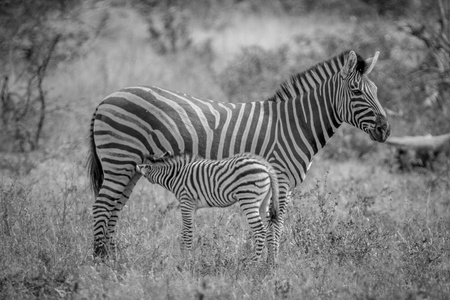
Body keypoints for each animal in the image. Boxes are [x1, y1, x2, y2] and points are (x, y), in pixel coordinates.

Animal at [135, 154, 280, 264]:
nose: (136, 168)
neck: (176, 175)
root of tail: (266, 167)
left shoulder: (186, 202)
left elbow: (188, 232)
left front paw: (186, 260)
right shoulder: (192, 206)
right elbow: (184, 231)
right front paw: (182, 256)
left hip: (248, 198)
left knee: (260, 231)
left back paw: (253, 263)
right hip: (264, 202)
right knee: (270, 229)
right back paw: (271, 263)